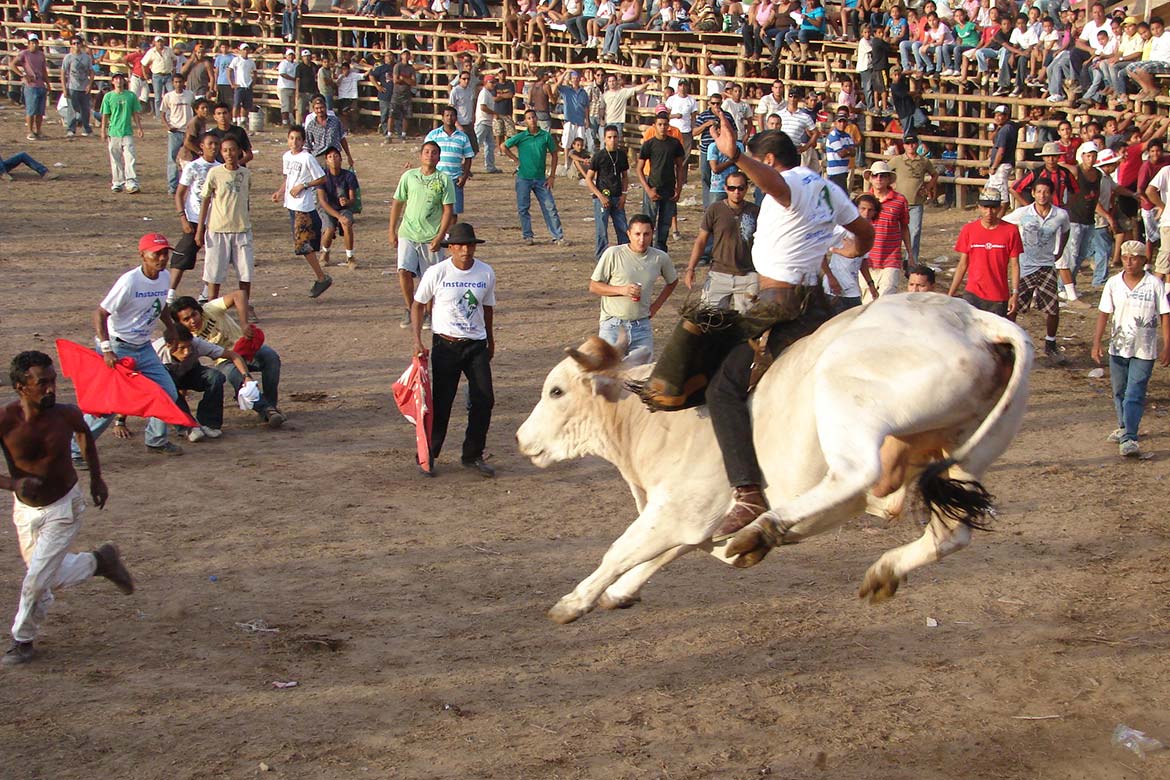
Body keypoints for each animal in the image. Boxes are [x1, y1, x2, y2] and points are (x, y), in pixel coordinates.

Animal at [517, 295, 1029, 626]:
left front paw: (573, 602)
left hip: (842, 392)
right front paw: (618, 593)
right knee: (950, 534)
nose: (522, 439)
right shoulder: (692, 521)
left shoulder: (678, 511)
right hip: (967, 452)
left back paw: (766, 528)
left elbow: (621, 551)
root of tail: (973, 319)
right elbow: (660, 556)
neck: (650, 420)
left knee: (857, 472)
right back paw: (882, 571)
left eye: (556, 391)